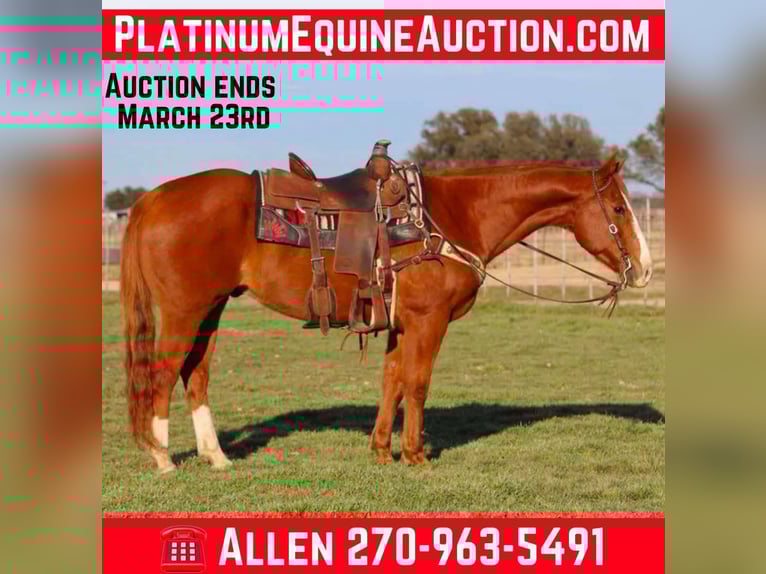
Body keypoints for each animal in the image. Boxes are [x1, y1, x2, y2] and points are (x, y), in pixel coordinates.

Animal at [120, 154, 652, 473]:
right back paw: (163, 458)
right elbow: (416, 383)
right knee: (163, 374)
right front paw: (415, 454)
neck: (451, 215)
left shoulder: (400, 322)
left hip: (210, 308)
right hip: (184, 310)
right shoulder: (428, 321)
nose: (645, 268)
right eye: (619, 210)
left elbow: (391, 380)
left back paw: (216, 457)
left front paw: (381, 450)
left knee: (195, 375)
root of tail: (152, 199)